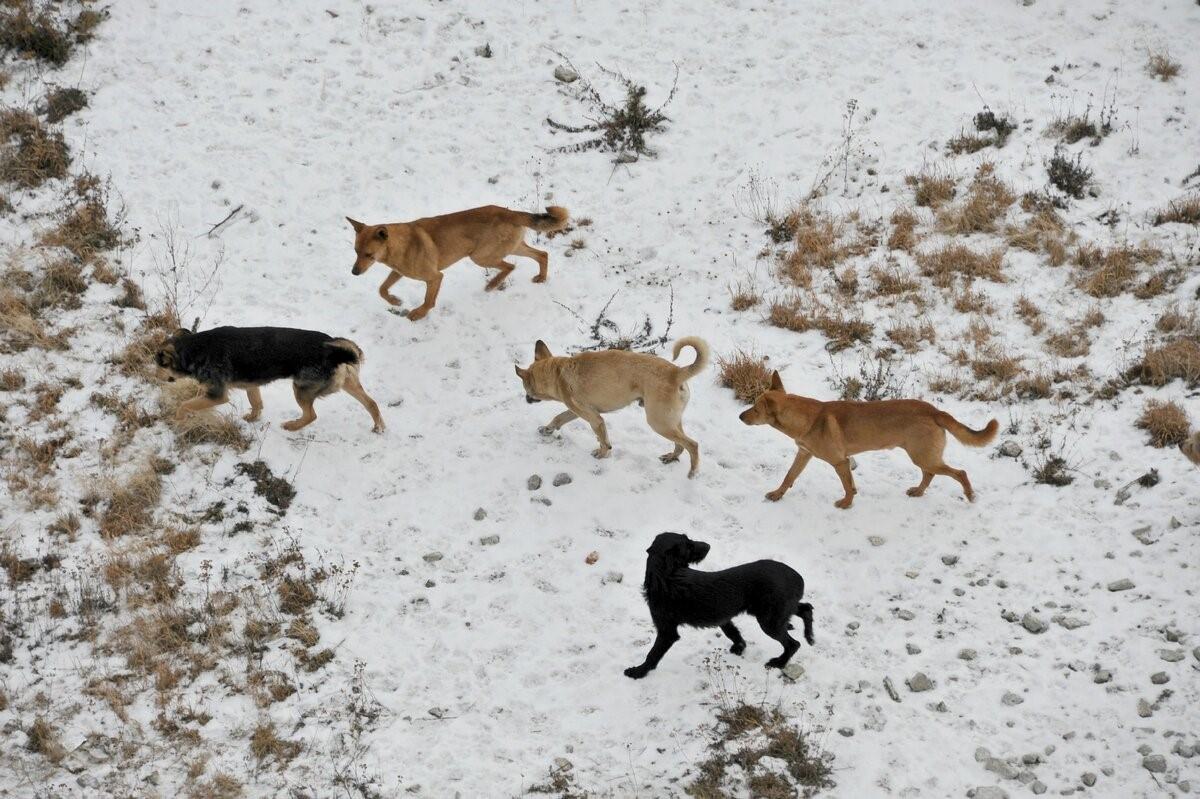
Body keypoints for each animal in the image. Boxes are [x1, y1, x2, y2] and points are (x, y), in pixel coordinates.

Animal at [152, 326, 381, 431]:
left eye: (158, 365)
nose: (154, 378)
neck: (194, 349)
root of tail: (335, 350)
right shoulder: (250, 385)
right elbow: (256, 402)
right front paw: (253, 419)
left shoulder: (218, 395)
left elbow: (185, 404)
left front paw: (177, 420)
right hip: (348, 383)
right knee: (371, 403)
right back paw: (379, 427)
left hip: (301, 389)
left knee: (311, 415)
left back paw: (292, 426)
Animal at [348, 203, 571, 319]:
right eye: (356, 251)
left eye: (368, 254)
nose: (354, 273)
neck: (399, 245)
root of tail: (510, 212)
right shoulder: (398, 272)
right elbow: (382, 289)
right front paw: (395, 301)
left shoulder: (435, 277)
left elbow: (428, 301)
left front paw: (418, 314)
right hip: (512, 248)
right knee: (541, 255)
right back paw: (540, 278)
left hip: (481, 256)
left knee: (511, 266)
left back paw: (492, 284)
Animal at [511, 333, 705, 472]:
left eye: (526, 388)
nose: (526, 399)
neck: (557, 372)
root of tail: (676, 372)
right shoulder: (576, 411)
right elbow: (558, 418)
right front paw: (547, 429)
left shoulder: (595, 419)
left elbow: (604, 440)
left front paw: (602, 454)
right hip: (671, 421)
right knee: (681, 445)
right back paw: (671, 457)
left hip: (659, 423)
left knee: (693, 445)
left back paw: (692, 473)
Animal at [624, 532, 811, 676]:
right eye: (688, 546)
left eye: (689, 541)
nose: (707, 546)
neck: (665, 576)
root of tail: (797, 577)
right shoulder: (723, 618)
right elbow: (733, 633)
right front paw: (740, 647)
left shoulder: (666, 632)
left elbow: (652, 654)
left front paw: (638, 672)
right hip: (773, 612)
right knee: (806, 608)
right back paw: (809, 636)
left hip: (768, 620)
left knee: (793, 643)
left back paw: (779, 662)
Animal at [734, 369, 998, 506]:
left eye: (755, 409)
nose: (739, 416)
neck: (807, 419)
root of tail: (935, 411)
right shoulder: (804, 454)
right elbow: (789, 476)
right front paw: (777, 494)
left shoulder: (840, 462)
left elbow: (847, 486)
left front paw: (846, 504)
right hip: (923, 456)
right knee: (929, 474)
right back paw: (918, 492)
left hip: (924, 456)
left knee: (959, 473)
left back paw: (970, 495)